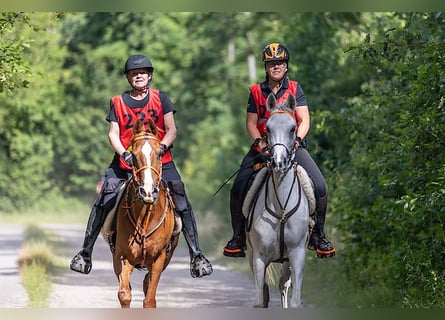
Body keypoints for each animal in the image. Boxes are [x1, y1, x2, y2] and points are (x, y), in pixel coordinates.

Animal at [112, 117, 180, 308]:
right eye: (133, 155)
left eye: (159, 154)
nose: (148, 192)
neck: (144, 217)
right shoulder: (122, 256)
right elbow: (124, 294)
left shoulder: (159, 259)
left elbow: (149, 299)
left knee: (147, 284)